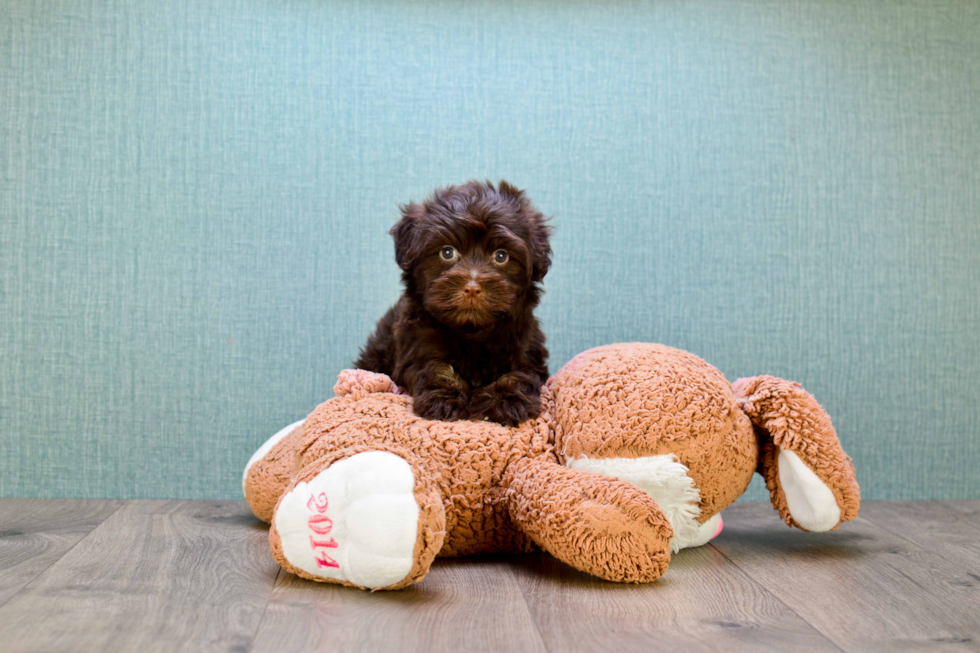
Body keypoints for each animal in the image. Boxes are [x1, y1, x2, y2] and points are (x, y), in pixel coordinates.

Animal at [354, 180, 556, 422]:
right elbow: (435, 368)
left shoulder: (527, 348)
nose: (472, 287)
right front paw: (444, 399)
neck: (471, 332)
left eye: (501, 256)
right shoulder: (417, 344)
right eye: (447, 252)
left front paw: (505, 400)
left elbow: (520, 373)